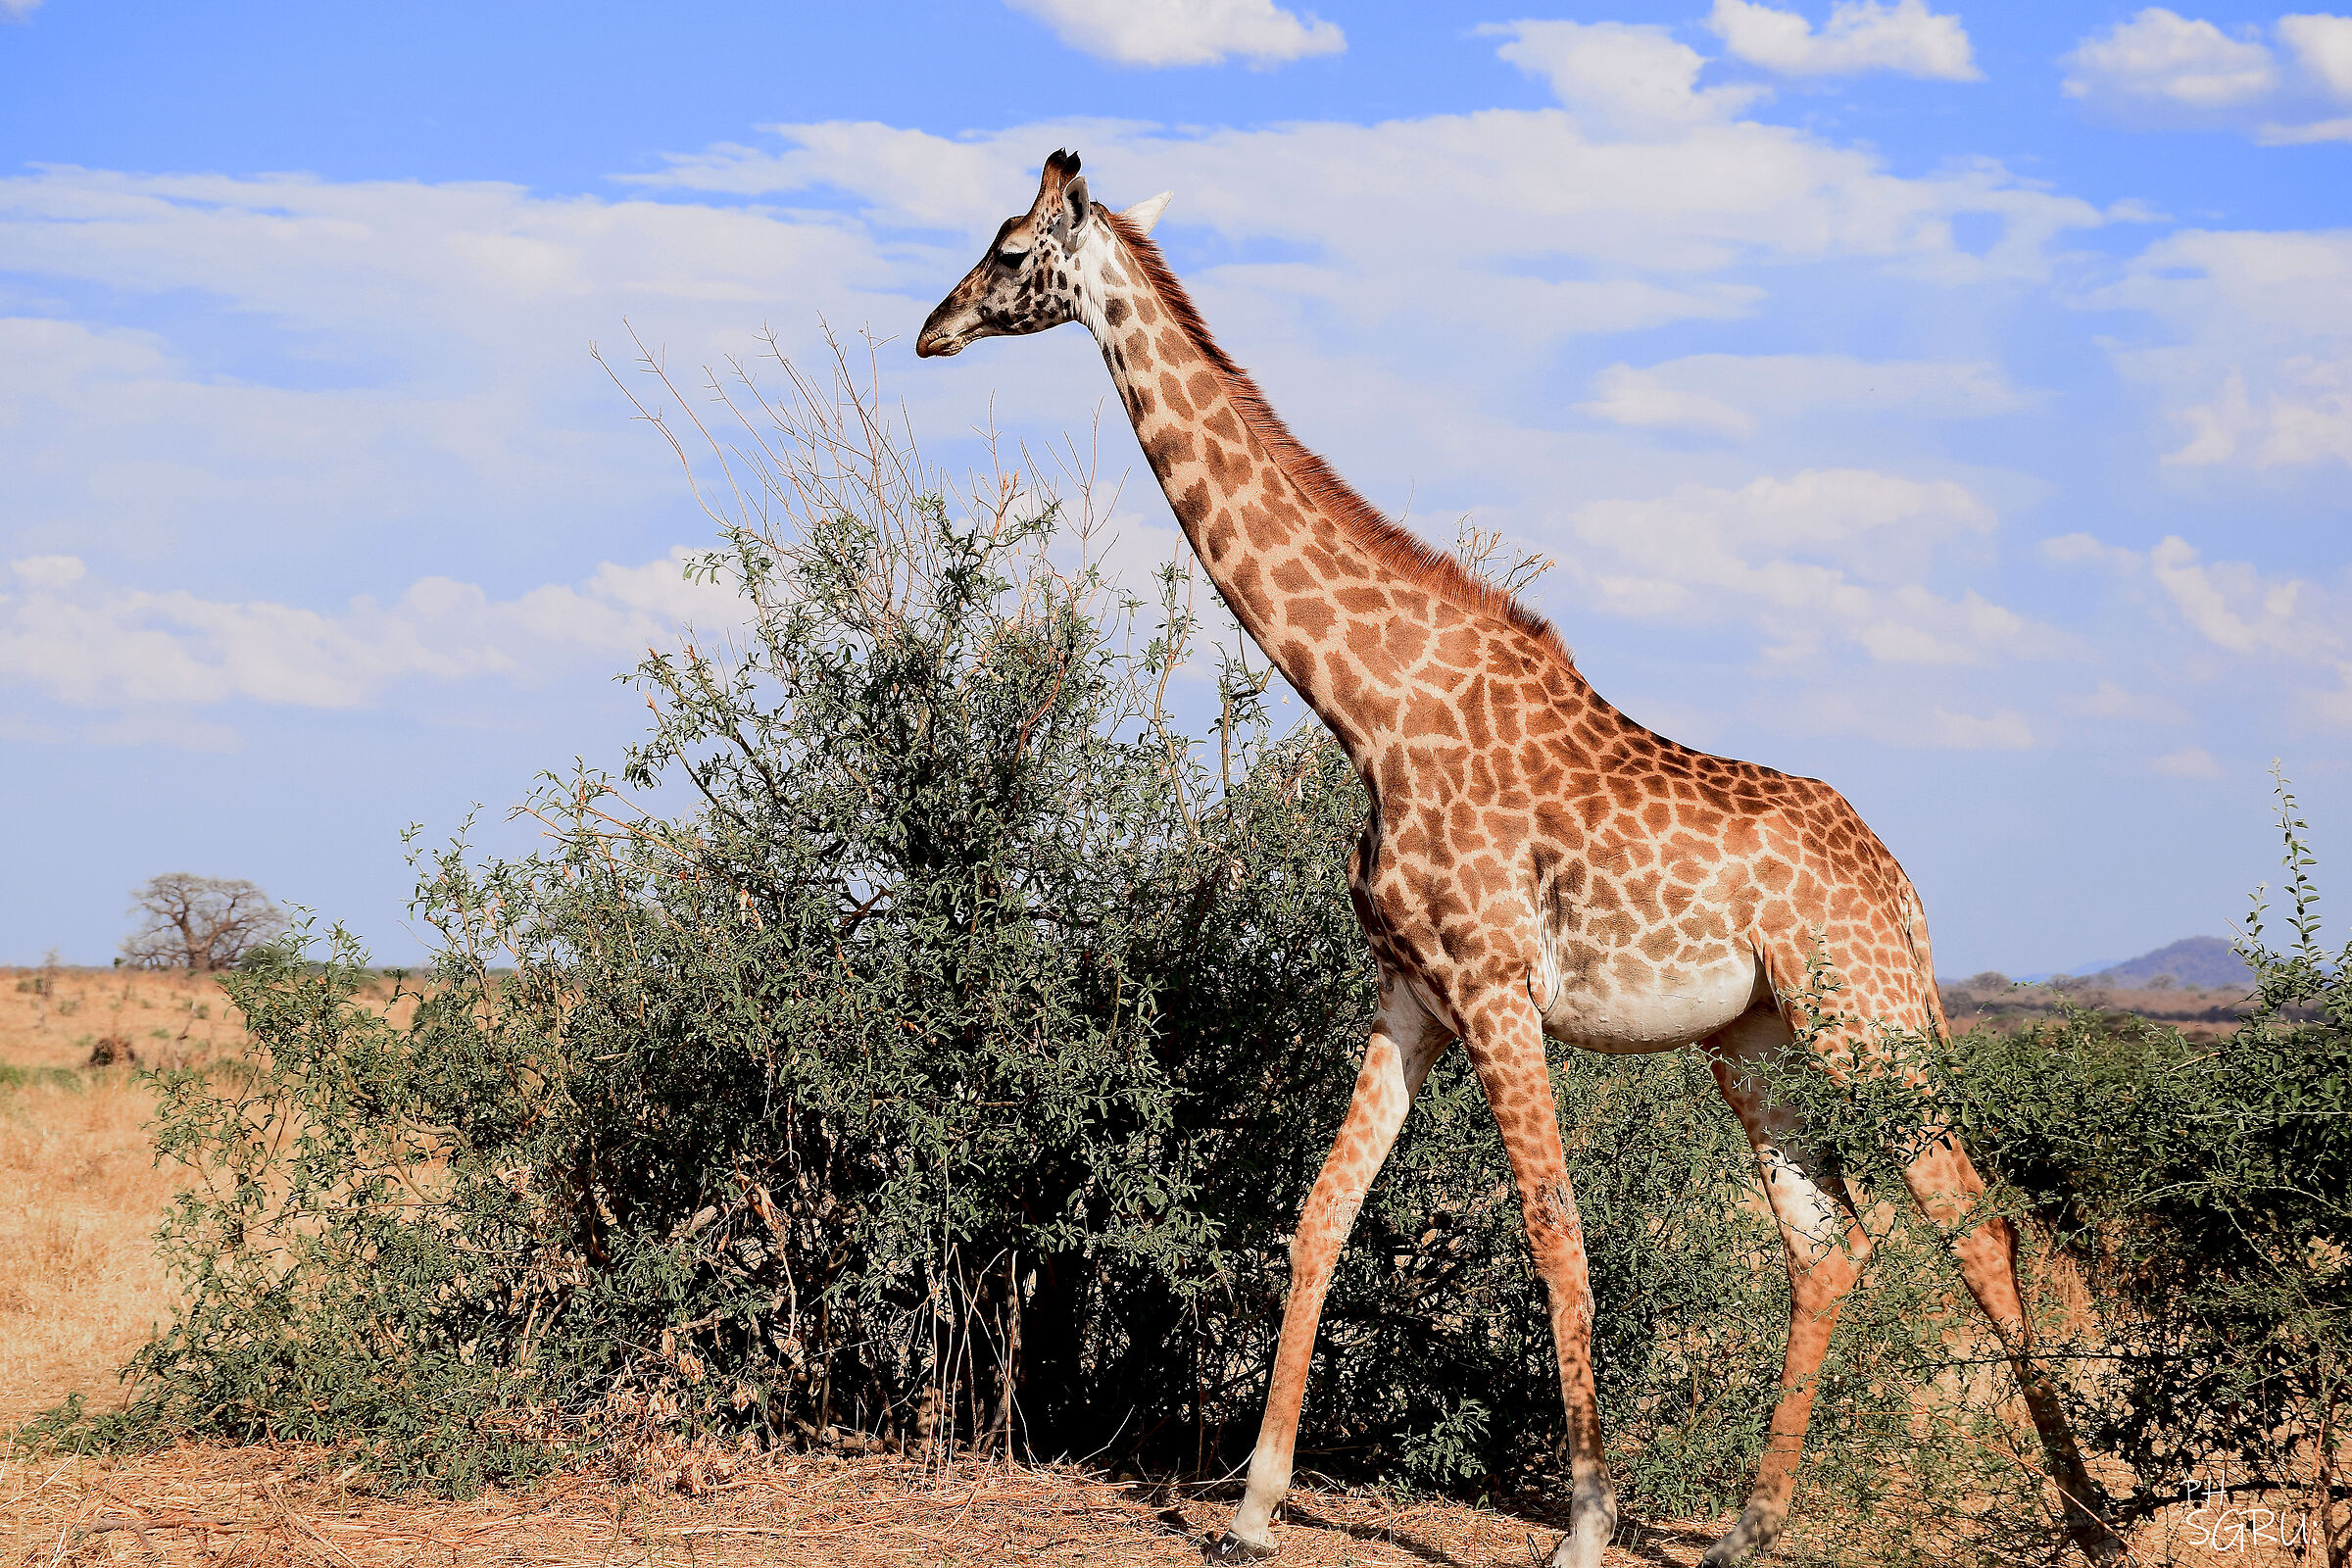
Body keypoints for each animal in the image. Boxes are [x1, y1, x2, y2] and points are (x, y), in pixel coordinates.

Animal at [917, 151, 2123, 1568]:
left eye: (1007, 251)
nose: (931, 327)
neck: (1370, 706)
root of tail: (1905, 887)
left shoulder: (1498, 989)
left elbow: (1556, 1229)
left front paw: (1586, 1523)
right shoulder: (1411, 994)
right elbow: (1322, 1212)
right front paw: (1255, 1508)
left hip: (1866, 1018)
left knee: (1978, 1226)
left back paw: (2093, 1516)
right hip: (1757, 1042)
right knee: (1829, 1242)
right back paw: (1749, 1527)